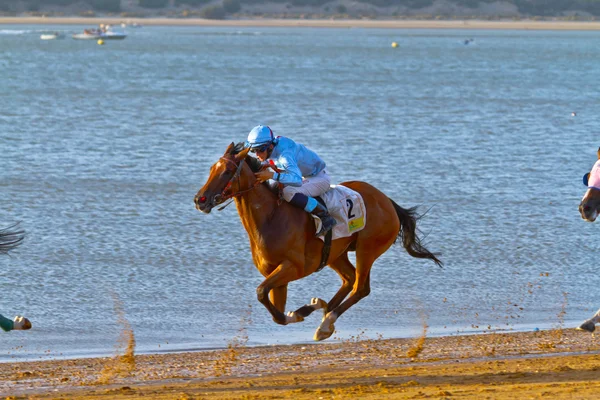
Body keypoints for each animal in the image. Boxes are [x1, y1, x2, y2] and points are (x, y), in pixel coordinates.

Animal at [195, 142, 442, 340]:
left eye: (227, 171)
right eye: (211, 169)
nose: (200, 199)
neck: (271, 217)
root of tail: (387, 201)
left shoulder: (294, 267)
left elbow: (261, 292)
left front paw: (303, 313)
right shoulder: (276, 274)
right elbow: (275, 311)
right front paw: (303, 310)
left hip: (367, 249)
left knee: (360, 287)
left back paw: (326, 322)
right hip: (336, 253)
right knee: (349, 279)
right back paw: (322, 309)